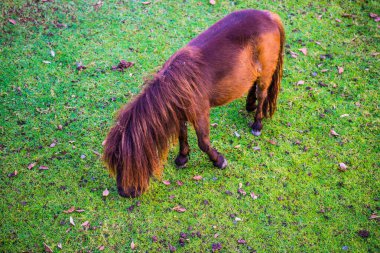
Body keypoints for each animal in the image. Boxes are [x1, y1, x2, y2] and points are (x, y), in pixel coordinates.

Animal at [102, 9, 284, 198]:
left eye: (124, 163)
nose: (123, 192)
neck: (179, 84)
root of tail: (270, 16)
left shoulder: (200, 113)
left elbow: (203, 142)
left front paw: (219, 161)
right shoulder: (180, 114)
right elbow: (182, 135)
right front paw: (182, 158)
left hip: (266, 73)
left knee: (262, 94)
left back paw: (257, 124)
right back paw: (249, 105)